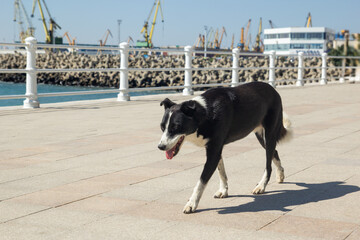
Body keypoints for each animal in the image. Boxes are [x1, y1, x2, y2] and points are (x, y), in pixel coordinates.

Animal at [158, 81, 292, 213]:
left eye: (176, 127)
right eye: (162, 127)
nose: (160, 146)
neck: (205, 114)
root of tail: (272, 89)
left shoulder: (214, 151)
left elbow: (201, 181)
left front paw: (191, 203)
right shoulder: (216, 149)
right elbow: (221, 171)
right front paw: (223, 190)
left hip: (269, 134)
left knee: (268, 165)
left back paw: (261, 186)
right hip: (261, 136)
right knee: (275, 152)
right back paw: (280, 175)